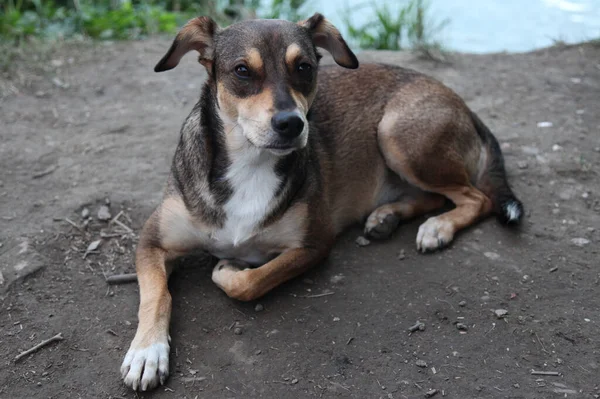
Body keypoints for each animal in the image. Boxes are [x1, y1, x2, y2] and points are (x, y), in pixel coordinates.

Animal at [119, 14, 524, 392]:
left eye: (304, 67)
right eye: (241, 71)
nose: (291, 124)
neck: (250, 163)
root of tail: (459, 100)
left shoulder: (315, 244)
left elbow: (253, 281)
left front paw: (229, 271)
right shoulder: (151, 241)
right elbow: (156, 296)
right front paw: (146, 353)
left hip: (397, 135)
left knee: (477, 197)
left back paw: (438, 227)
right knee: (437, 196)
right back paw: (387, 216)